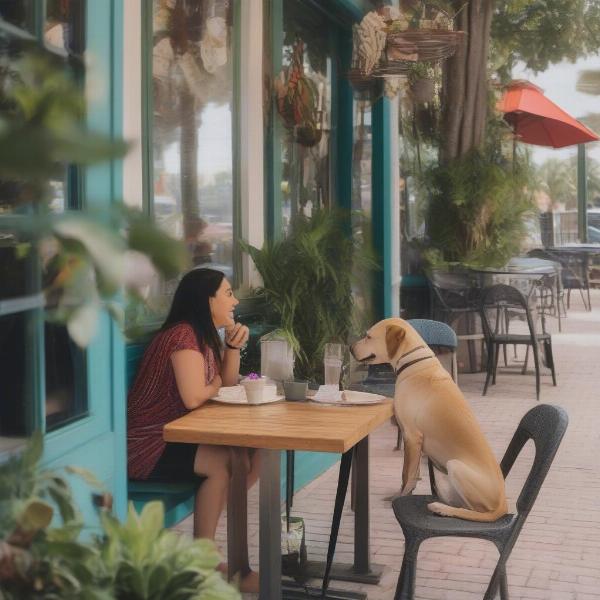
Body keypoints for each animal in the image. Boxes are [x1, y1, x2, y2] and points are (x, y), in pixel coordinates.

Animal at [352, 318, 506, 520]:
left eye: (368, 336)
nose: (350, 348)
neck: (413, 363)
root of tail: (504, 504)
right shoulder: (414, 441)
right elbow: (414, 472)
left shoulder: (412, 436)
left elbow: (406, 474)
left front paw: (400, 496)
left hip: (455, 467)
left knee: (474, 512)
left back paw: (442, 508)